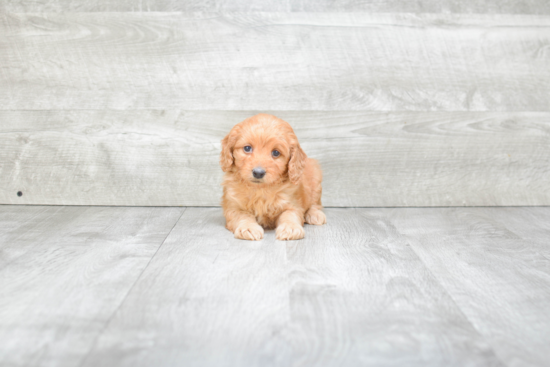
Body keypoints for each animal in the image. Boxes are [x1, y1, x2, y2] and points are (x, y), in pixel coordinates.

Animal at [221, 114, 328, 242]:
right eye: (247, 148)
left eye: (276, 152)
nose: (258, 173)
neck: (260, 189)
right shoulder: (233, 206)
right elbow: (242, 215)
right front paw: (248, 227)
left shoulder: (292, 204)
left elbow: (290, 214)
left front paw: (291, 228)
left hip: (316, 179)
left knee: (315, 203)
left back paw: (315, 215)